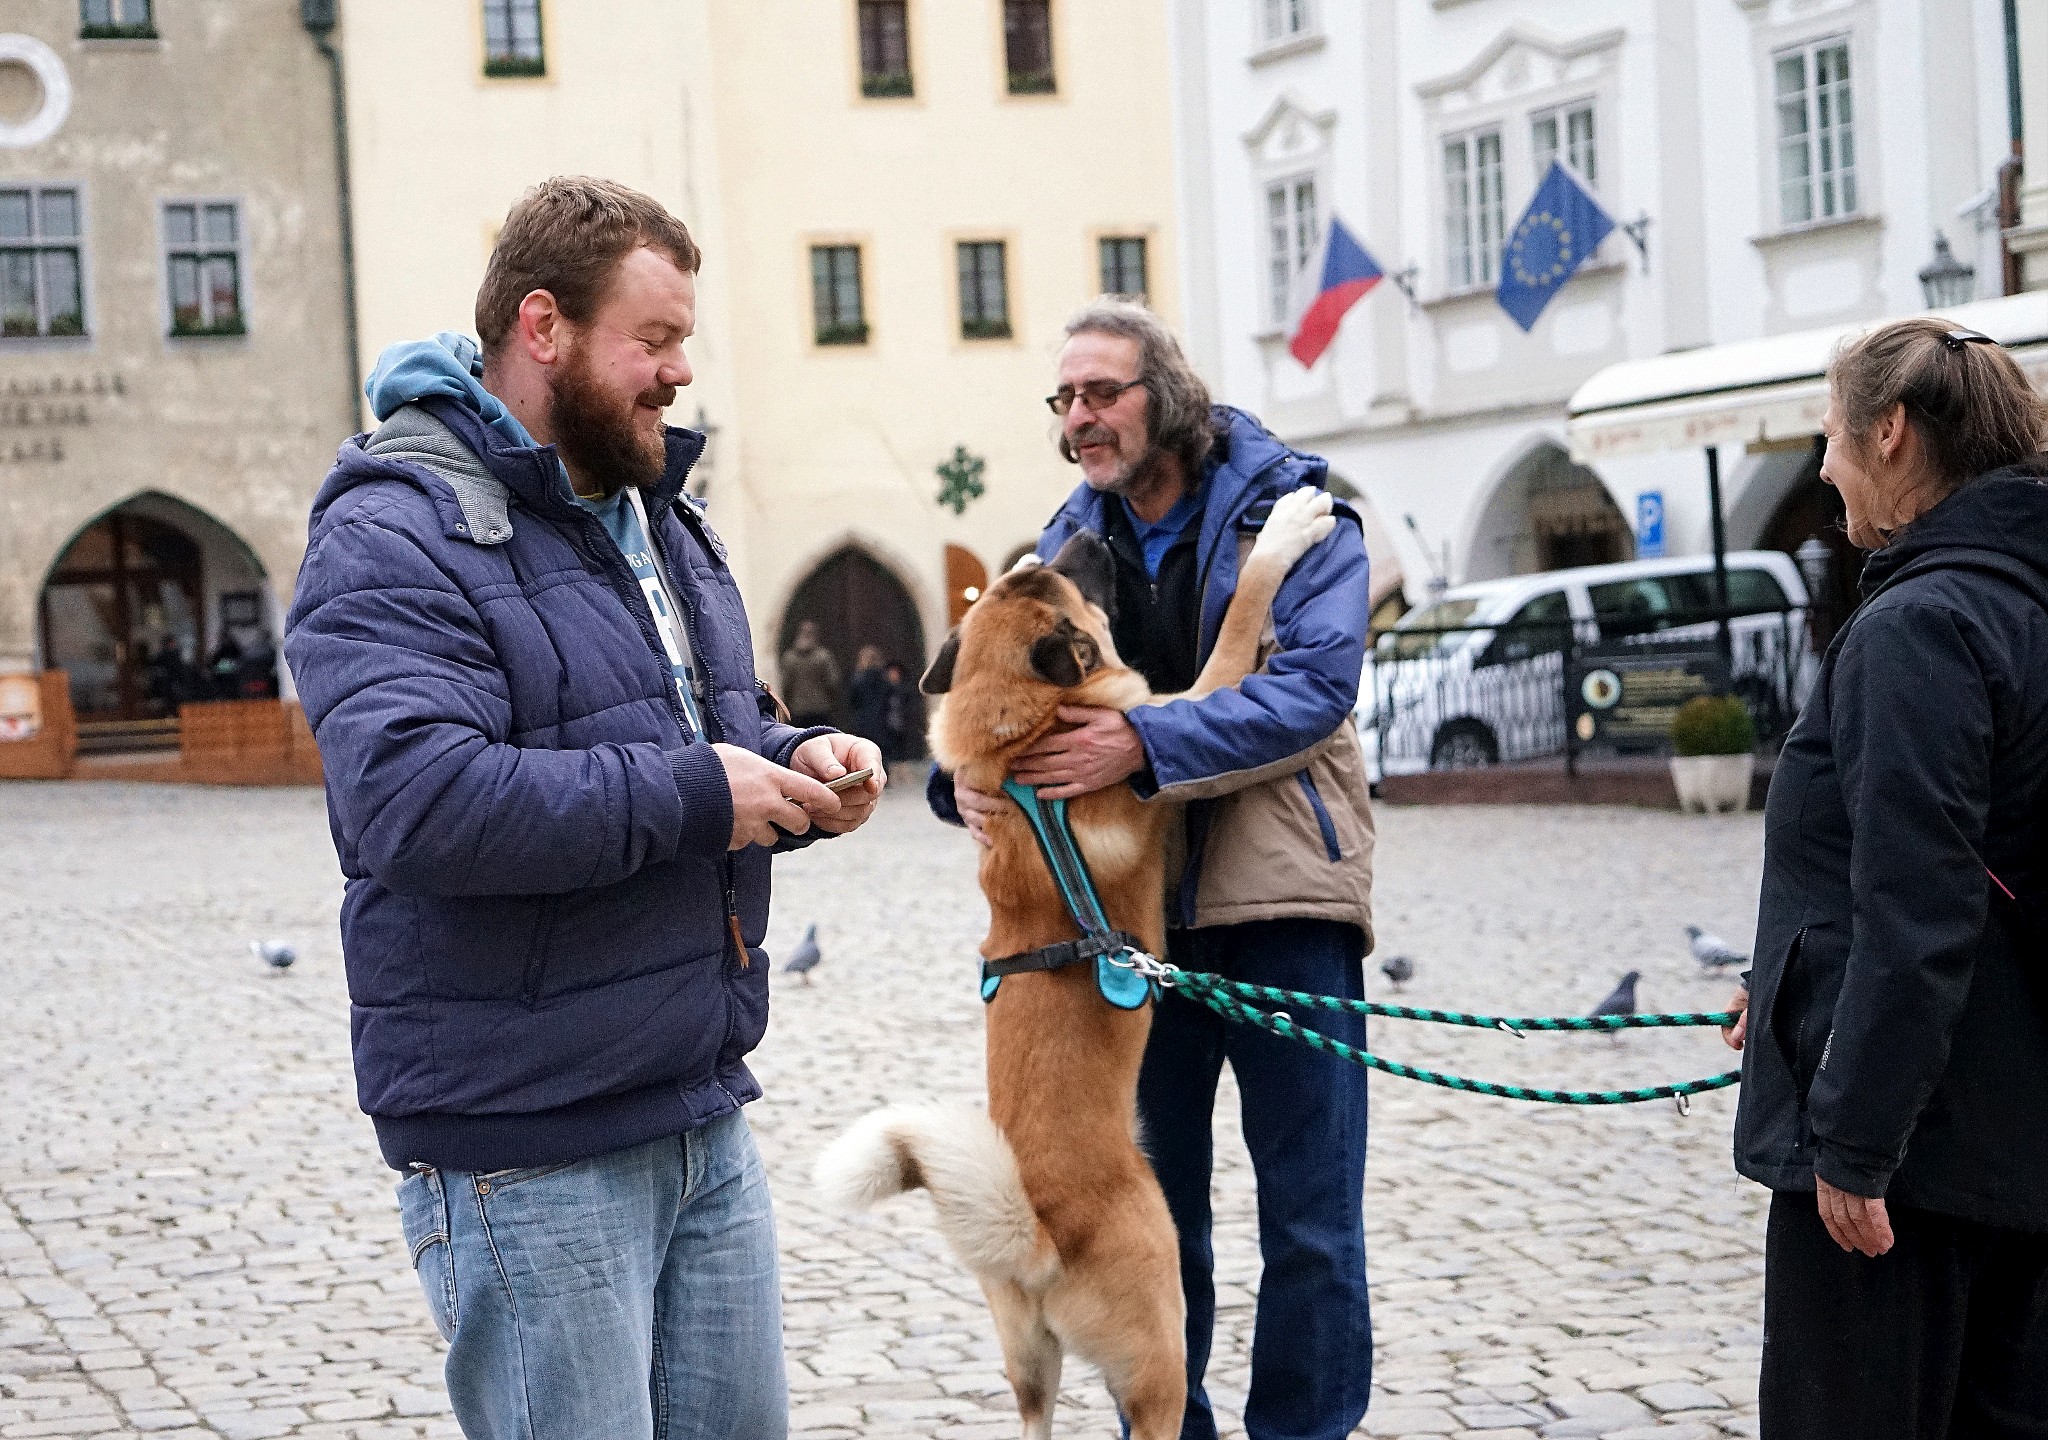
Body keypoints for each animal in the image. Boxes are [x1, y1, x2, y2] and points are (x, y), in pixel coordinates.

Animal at [815, 489, 1343, 1433]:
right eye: (1063, 580)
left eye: (1039, 568)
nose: (1094, 531)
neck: (1023, 746)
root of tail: (1039, 1236)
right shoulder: (1186, 701)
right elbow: (1242, 615)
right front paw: (1287, 530)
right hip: (1162, 1346)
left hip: (1030, 1365)